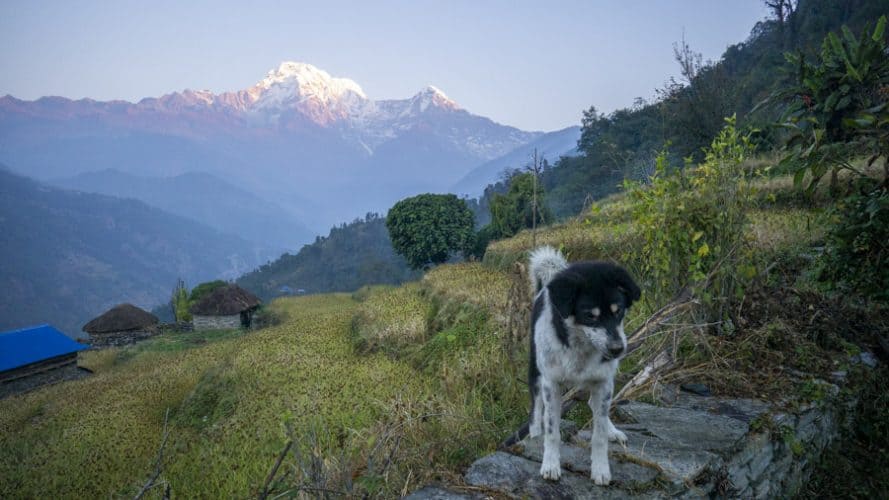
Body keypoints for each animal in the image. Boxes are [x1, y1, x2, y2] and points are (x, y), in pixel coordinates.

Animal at [528, 246, 640, 484]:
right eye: (590, 315)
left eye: (619, 310)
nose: (617, 349)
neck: (581, 347)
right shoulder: (551, 384)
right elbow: (552, 430)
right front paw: (550, 464)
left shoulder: (604, 382)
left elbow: (599, 434)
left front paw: (600, 468)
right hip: (535, 372)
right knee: (536, 410)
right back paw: (534, 433)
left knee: (595, 407)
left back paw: (612, 430)